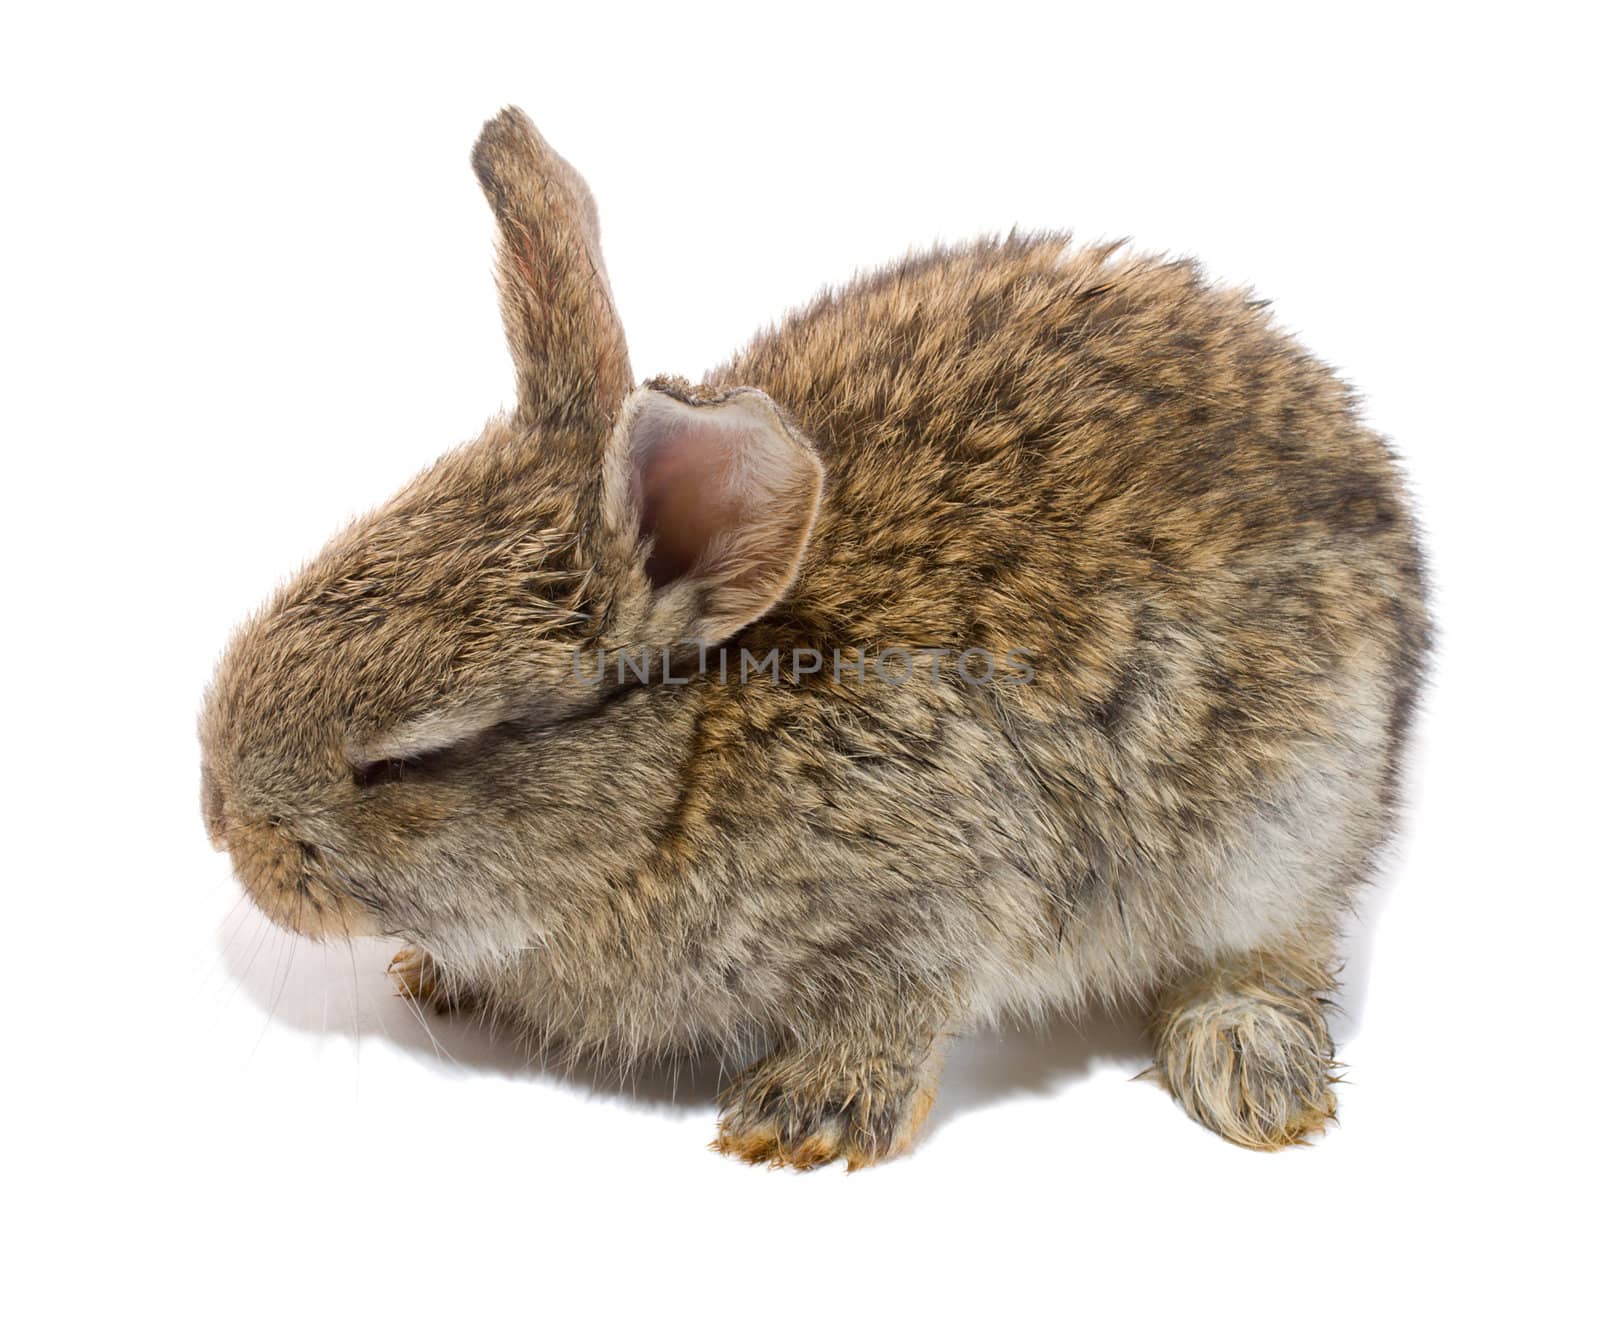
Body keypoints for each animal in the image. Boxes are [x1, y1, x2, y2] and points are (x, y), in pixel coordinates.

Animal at [193, 108, 1433, 1171]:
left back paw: (1246, 1062)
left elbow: (903, 997)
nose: (221, 826)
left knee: (1279, 943)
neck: (682, 774)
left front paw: (804, 1115)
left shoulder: (942, 886)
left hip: (1283, 824)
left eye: (407, 761)